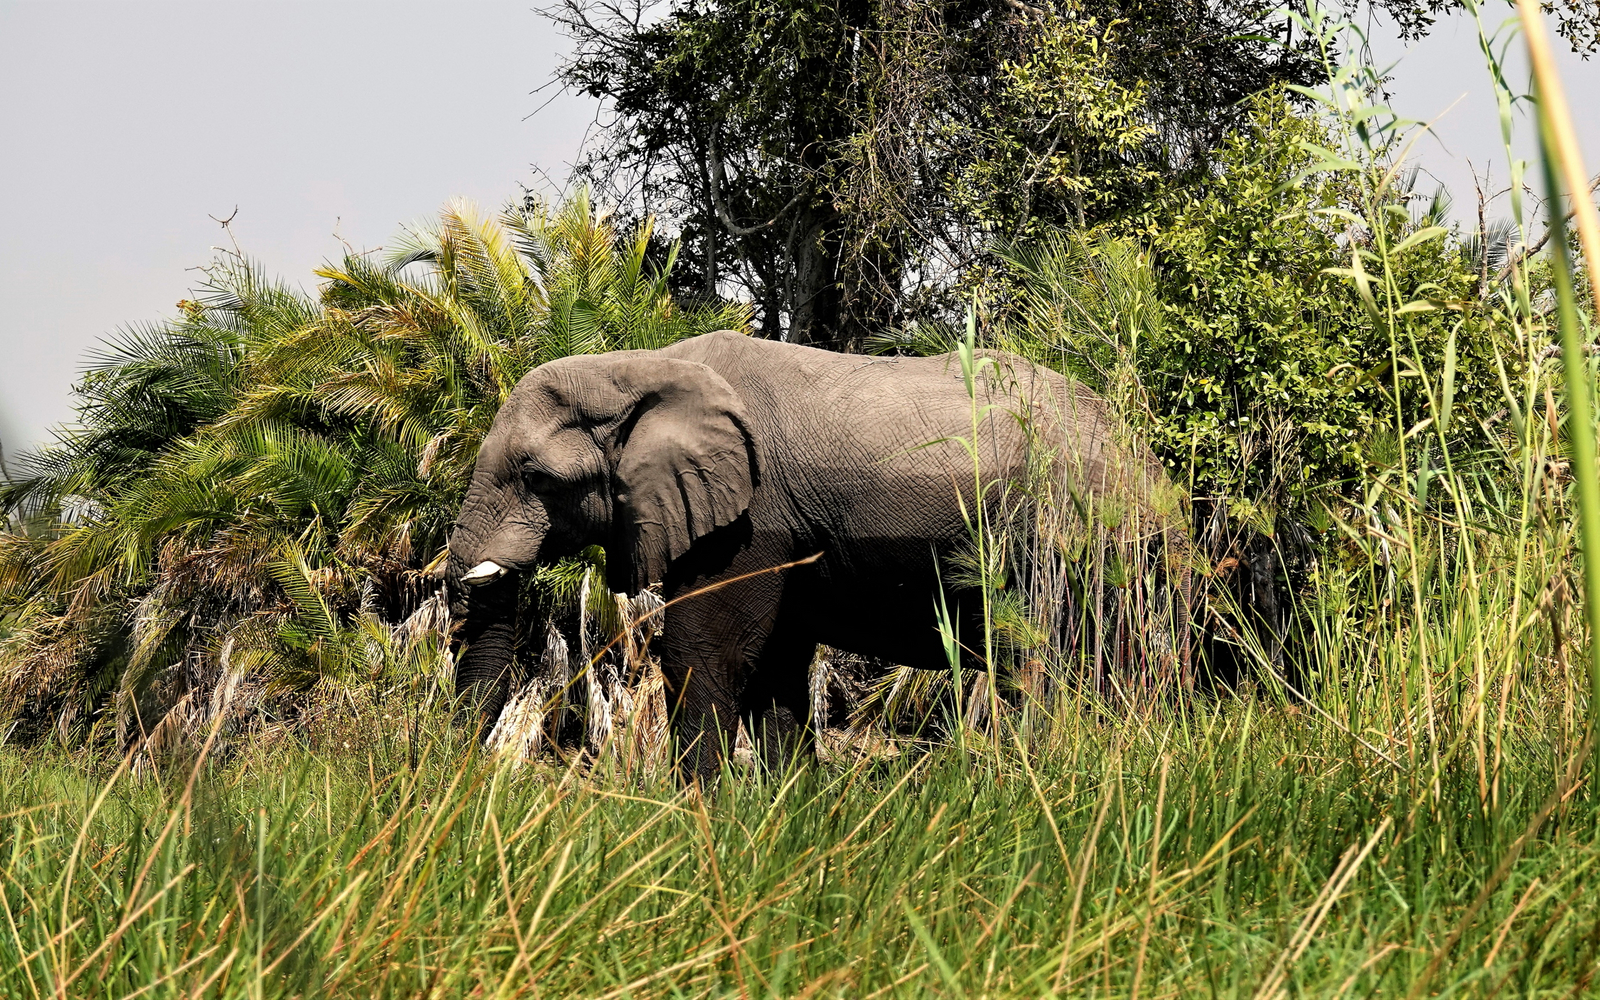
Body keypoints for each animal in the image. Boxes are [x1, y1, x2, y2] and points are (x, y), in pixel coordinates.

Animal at [446, 329, 1189, 776]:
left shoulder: (752, 521)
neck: (634, 368)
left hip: (1069, 536)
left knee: (1044, 663)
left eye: (538, 478)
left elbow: (705, 654)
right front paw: (784, 823)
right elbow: (775, 670)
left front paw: (693, 827)